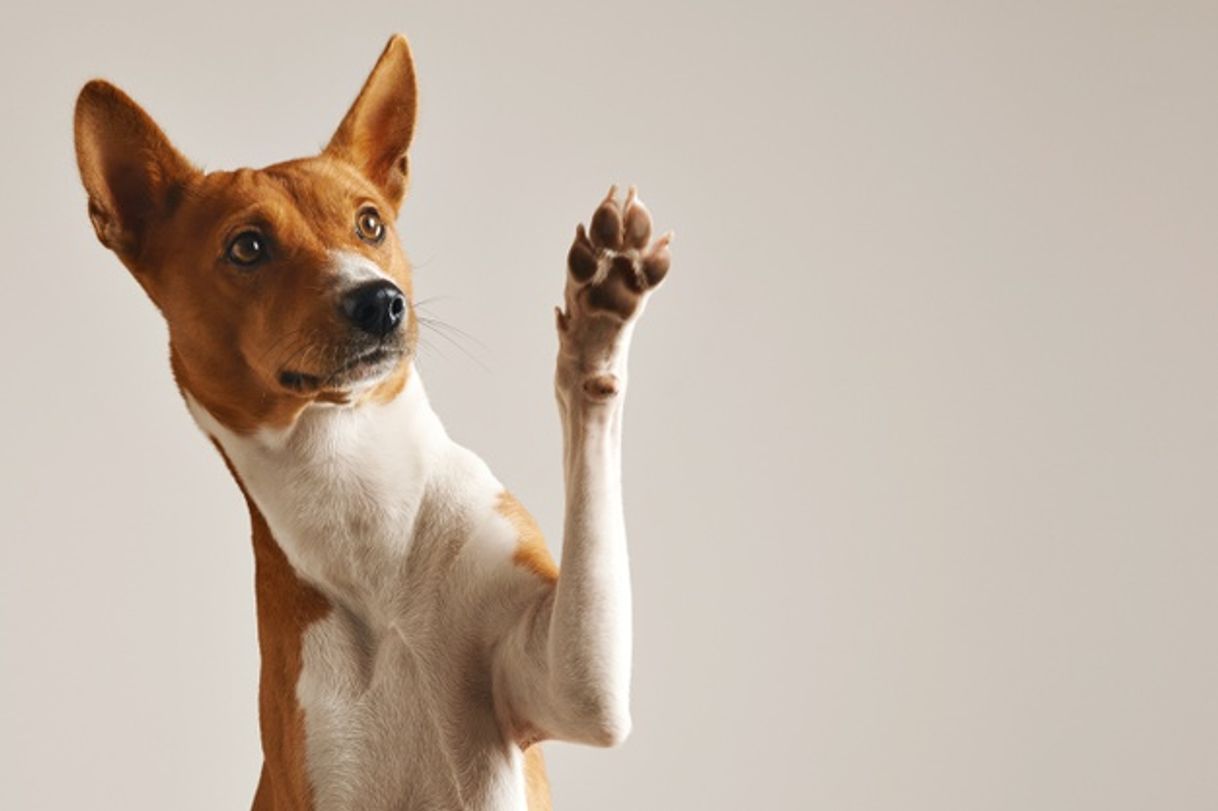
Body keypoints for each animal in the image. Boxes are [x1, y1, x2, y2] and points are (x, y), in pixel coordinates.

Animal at [71, 33, 672, 808]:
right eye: (247, 247)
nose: (380, 301)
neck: (362, 511)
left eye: (370, 223)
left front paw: (602, 309)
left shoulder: (569, 682)